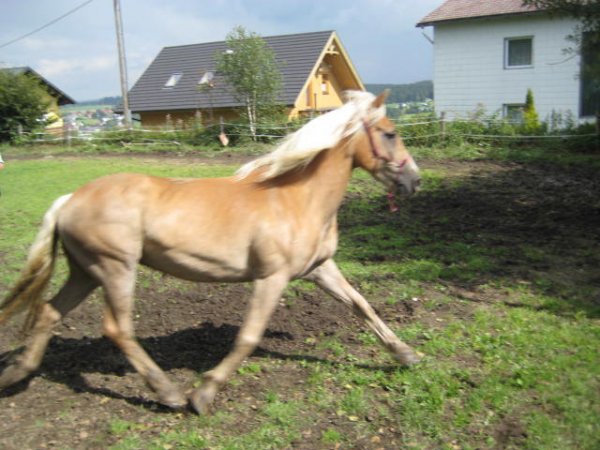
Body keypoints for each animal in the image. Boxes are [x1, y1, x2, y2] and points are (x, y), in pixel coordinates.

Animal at [0, 90, 422, 414]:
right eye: (390, 133)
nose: (413, 181)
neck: (296, 198)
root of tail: (70, 199)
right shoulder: (272, 278)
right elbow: (248, 337)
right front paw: (204, 394)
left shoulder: (319, 268)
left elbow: (362, 306)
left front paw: (406, 354)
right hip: (115, 269)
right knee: (117, 328)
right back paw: (169, 394)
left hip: (85, 271)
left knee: (49, 312)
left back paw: (17, 372)